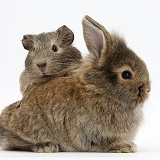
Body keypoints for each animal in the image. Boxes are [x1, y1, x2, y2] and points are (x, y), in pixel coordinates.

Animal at [0, 15, 150, 153]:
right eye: (126, 74)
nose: (148, 90)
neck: (100, 89)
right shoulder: (91, 134)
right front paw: (125, 146)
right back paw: (46, 146)